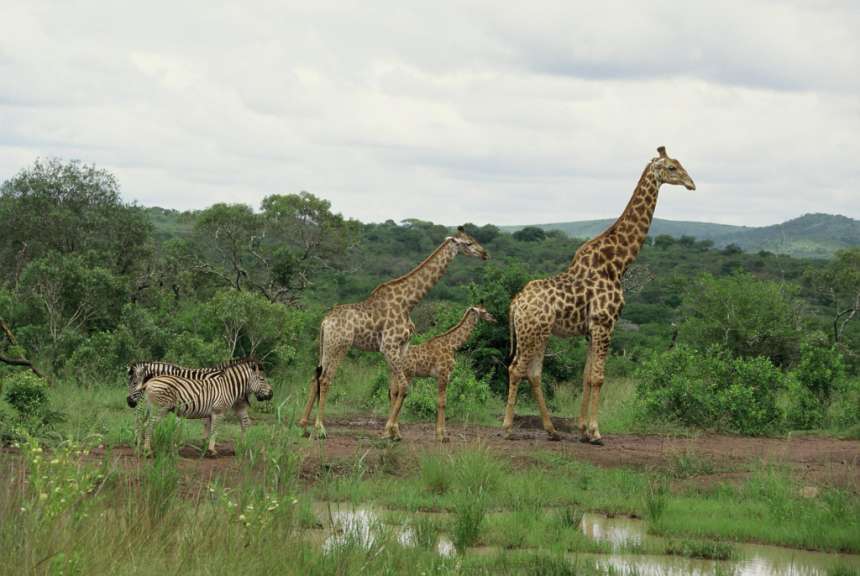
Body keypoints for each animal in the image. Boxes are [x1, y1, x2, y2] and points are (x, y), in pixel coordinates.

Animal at [127, 360, 273, 456]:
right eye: (262, 379)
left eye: (134, 382)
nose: (271, 394)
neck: (228, 386)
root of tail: (151, 381)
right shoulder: (218, 411)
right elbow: (214, 430)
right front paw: (211, 450)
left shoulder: (210, 412)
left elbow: (209, 429)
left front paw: (204, 448)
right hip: (160, 409)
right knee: (147, 425)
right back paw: (147, 450)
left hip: (153, 408)